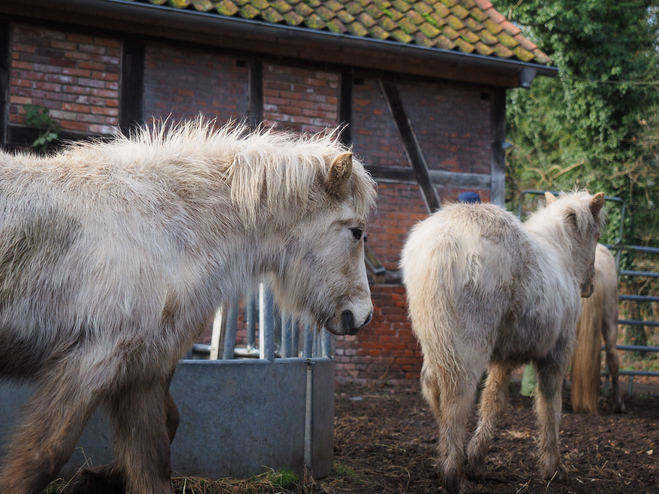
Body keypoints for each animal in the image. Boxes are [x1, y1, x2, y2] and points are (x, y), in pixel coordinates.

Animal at [0, 119, 376, 494]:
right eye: (357, 232)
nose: (363, 315)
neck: (160, 228)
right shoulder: (91, 360)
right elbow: (43, 456)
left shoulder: (140, 371)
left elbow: (155, 454)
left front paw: (95, 477)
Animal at [400, 191, 604, 492]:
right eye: (597, 234)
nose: (589, 287)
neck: (561, 254)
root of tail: (442, 240)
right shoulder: (556, 356)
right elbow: (550, 406)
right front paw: (553, 467)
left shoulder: (504, 358)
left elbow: (493, 401)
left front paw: (476, 461)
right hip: (468, 349)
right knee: (457, 398)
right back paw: (453, 475)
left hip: (437, 344)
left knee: (435, 391)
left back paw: (447, 462)